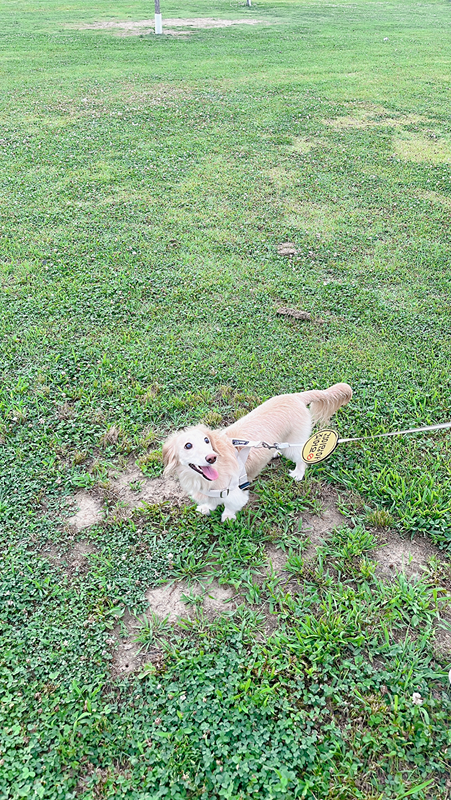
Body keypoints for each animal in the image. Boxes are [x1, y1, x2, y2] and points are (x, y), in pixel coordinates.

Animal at [162, 382, 354, 520]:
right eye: (188, 445)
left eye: (207, 440)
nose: (211, 458)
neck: (203, 479)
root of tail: (296, 396)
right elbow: (210, 502)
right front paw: (206, 508)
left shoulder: (234, 492)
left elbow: (230, 506)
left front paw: (228, 517)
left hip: (294, 443)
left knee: (300, 458)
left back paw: (298, 473)